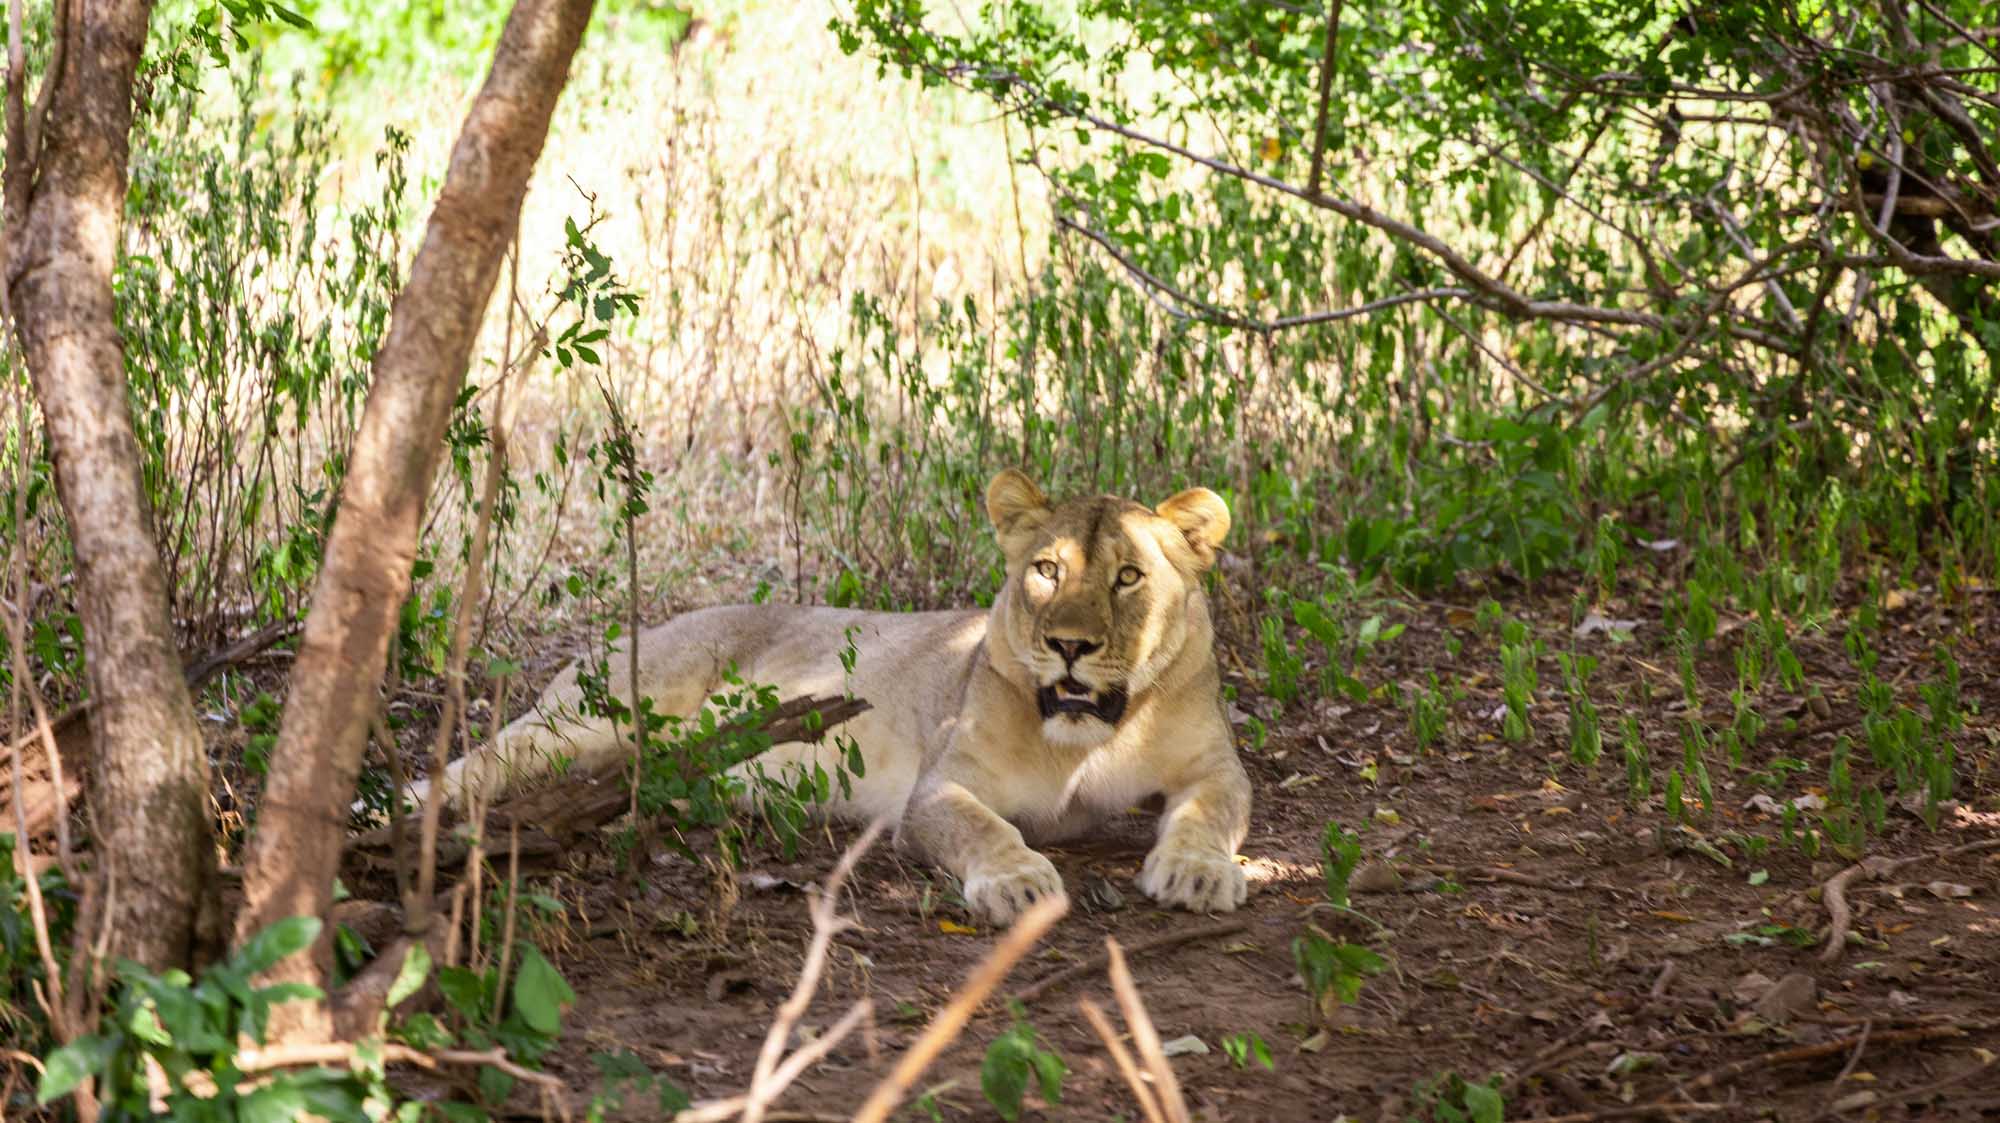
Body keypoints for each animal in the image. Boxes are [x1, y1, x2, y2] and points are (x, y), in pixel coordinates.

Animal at [409, 469, 1252, 923]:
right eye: (1046, 570)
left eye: (1128, 577)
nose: (1069, 645)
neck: (1088, 737)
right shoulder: (941, 785)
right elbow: (985, 828)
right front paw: (1018, 880)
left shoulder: (1215, 765)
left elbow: (1210, 811)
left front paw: (1199, 872)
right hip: (598, 714)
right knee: (490, 755)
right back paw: (408, 806)